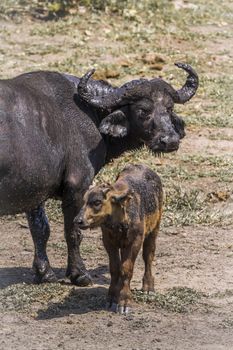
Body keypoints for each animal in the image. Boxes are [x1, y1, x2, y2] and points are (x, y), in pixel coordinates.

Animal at [0, 63, 198, 284]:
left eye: (169, 108)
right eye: (143, 110)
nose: (170, 141)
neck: (89, 113)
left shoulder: (35, 189)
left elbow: (40, 230)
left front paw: (44, 273)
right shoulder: (77, 186)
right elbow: (73, 231)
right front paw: (79, 273)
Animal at [76, 164, 162, 314]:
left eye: (97, 202)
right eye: (84, 201)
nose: (78, 220)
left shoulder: (135, 241)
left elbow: (127, 269)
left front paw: (124, 301)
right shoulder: (109, 242)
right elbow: (115, 268)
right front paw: (112, 297)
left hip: (154, 229)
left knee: (148, 256)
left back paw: (148, 287)